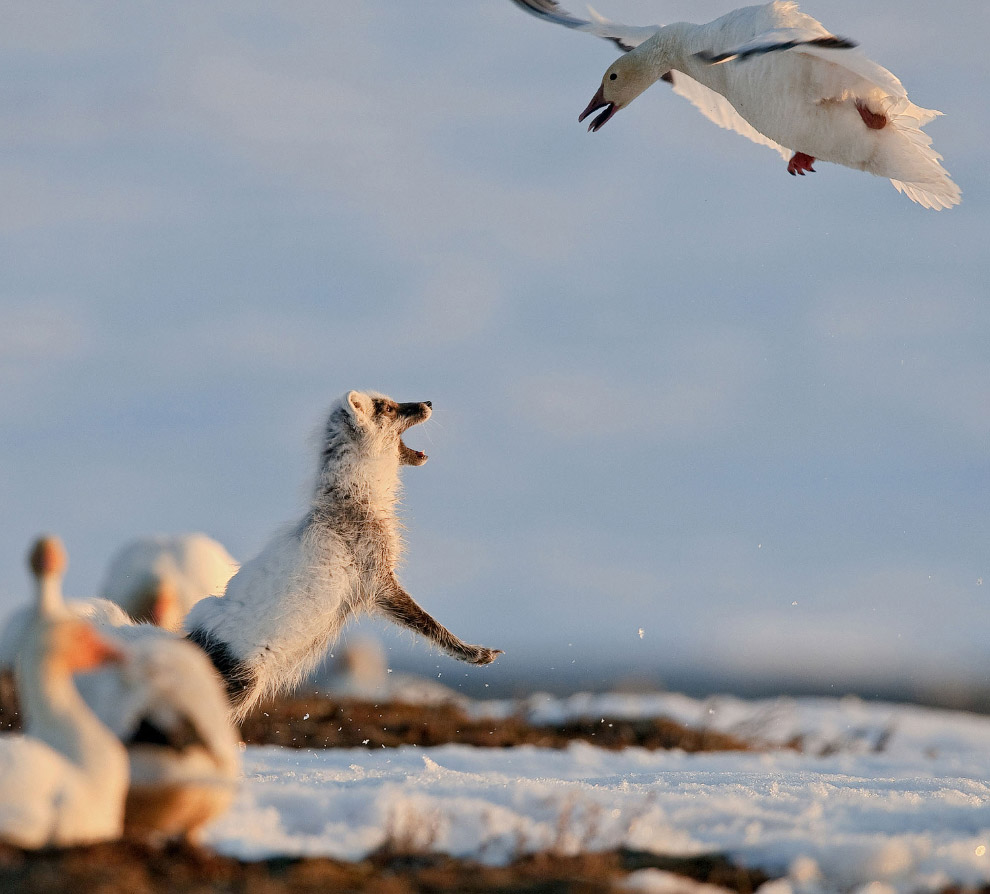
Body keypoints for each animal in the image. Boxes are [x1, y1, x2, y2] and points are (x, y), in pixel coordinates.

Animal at [187, 392, 504, 720]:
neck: (353, 498)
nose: (428, 402)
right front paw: (477, 653)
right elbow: (429, 624)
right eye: (388, 408)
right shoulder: (378, 580)